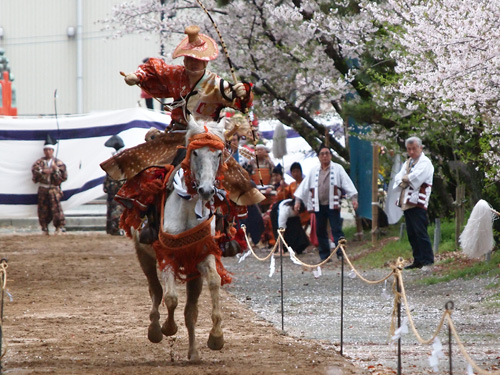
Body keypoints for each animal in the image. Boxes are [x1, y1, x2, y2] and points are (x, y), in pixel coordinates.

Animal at [133, 117, 227, 362]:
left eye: (218, 154)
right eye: (195, 153)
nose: (206, 190)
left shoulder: (203, 254)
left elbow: (214, 282)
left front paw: (216, 337)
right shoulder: (167, 256)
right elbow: (171, 298)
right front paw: (167, 328)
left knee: (190, 310)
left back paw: (193, 353)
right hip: (143, 255)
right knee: (156, 291)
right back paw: (155, 330)